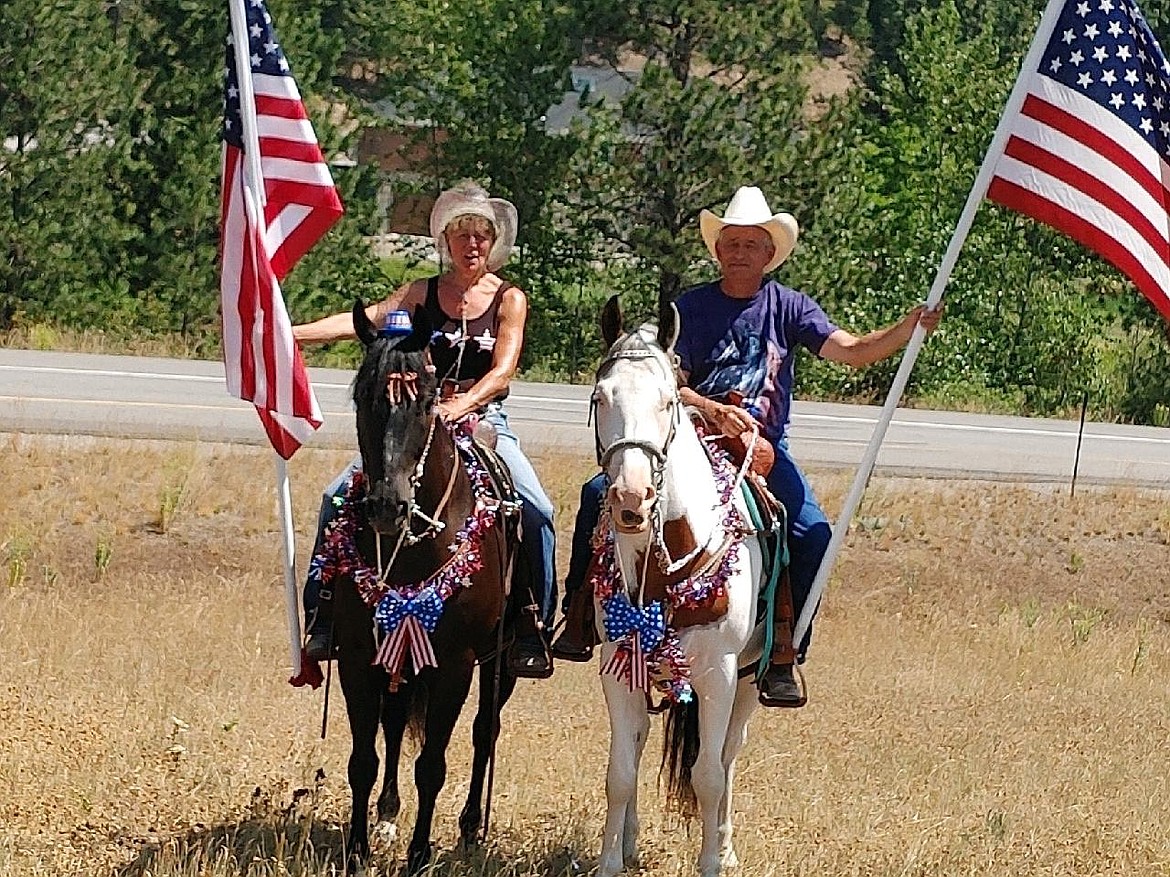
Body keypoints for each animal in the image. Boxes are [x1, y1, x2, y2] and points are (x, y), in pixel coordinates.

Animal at [334, 301, 526, 874]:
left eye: (424, 400)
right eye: (363, 397)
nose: (386, 506)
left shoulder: (456, 665)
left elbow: (433, 765)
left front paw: (420, 856)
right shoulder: (359, 656)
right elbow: (363, 758)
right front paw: (358, 850)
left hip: (502, 661)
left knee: (486, 731)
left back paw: (469, 829)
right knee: (396, 724)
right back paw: (387, 816)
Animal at [594, 297, 767, 877]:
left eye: (668, 401)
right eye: (600, 397)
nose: (632, 498)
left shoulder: (719, 674)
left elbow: (709, 775)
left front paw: (712, 861)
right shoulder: (619, 667)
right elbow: (620, 773)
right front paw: (610, 862)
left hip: (752, 681)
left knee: (729, 755)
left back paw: (728, 846)